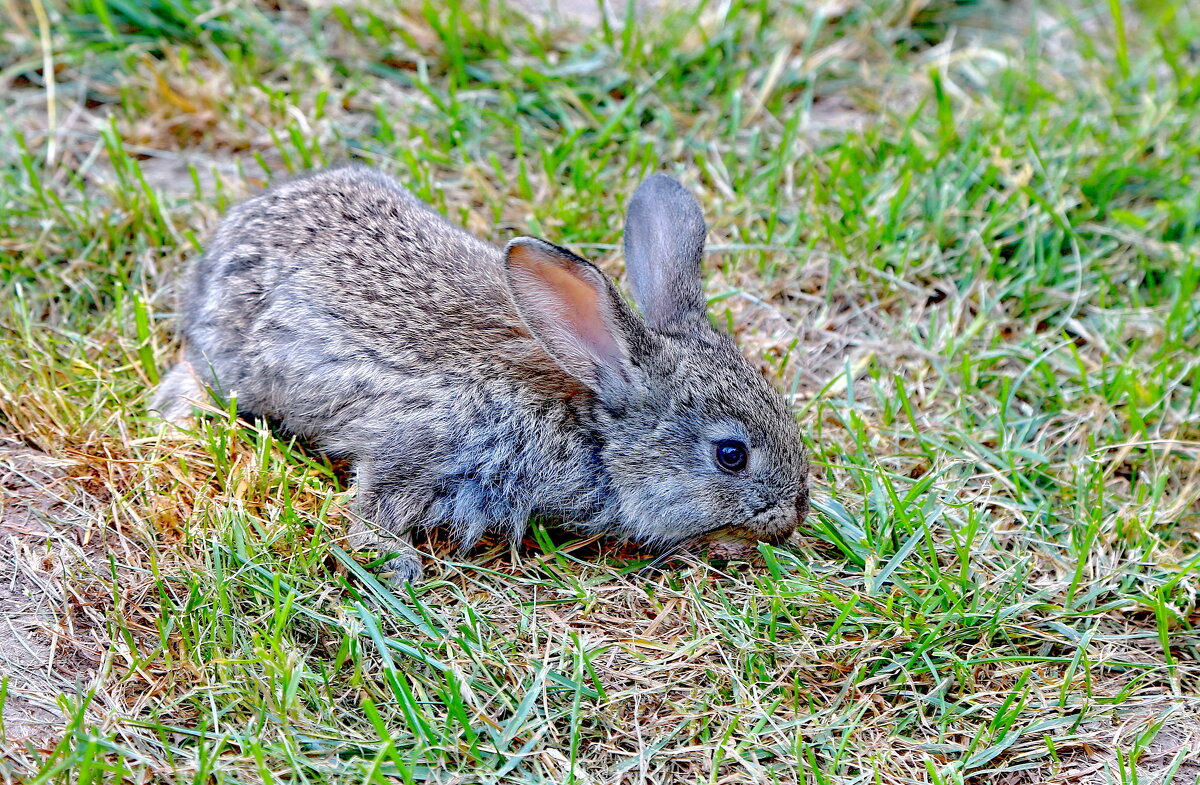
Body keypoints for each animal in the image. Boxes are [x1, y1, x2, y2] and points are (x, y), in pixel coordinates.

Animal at [150, 168, 806, 583]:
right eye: (730, 455)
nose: (794, 513)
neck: (592, 428)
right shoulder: (424, 442)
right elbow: (373, 505)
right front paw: (394, 560)